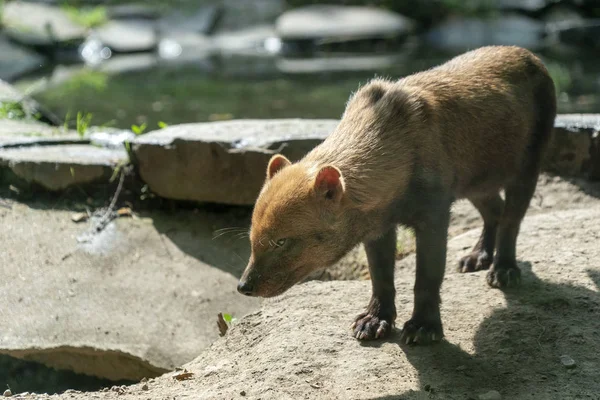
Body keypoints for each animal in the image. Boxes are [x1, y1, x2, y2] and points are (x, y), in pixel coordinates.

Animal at [237, 45, 556, 342]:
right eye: (252, 237)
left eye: (281, 241)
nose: (243, 286)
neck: (398, 149)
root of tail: (529, 55)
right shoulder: (377, 226)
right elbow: (380, 276)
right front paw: (373, 321)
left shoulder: (433, 215)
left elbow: (426, 277)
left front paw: (423, 327)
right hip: (475, 180)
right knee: (495, 210)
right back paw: (477, 257)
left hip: (526, 166)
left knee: (511, 218)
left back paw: (503, 270)